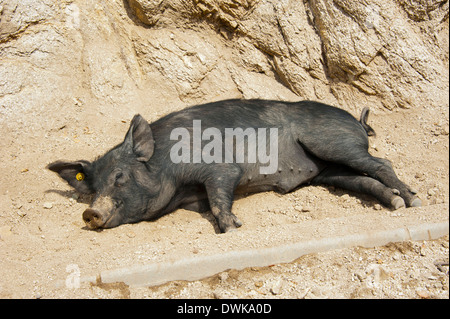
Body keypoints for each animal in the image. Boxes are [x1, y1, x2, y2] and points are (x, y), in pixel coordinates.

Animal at [47, 99, 420, 234]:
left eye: (120, 177)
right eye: (94, 188)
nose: (90, 212)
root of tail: (356, 119)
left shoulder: (220, 168)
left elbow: (218, 195)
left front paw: (233, 228)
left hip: (333, 142)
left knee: (381, 162)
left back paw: (413, 200)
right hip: (330, 170)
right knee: (364, 180)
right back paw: (397, 203)